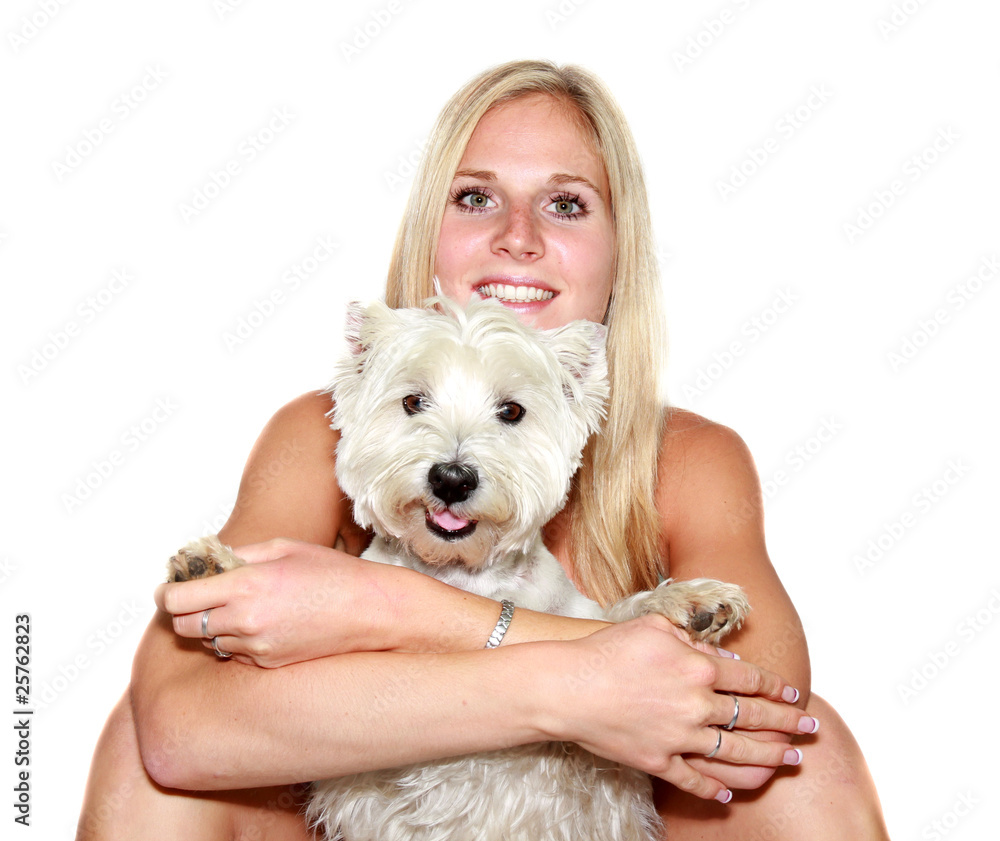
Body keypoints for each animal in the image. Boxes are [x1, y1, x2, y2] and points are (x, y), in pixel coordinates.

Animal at [170, 298, 752, 836]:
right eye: (412, 401)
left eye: (512, 411)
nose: (452, 478)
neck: (460, 575)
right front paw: (219, 567)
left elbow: (604, 630)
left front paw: (687, 602)